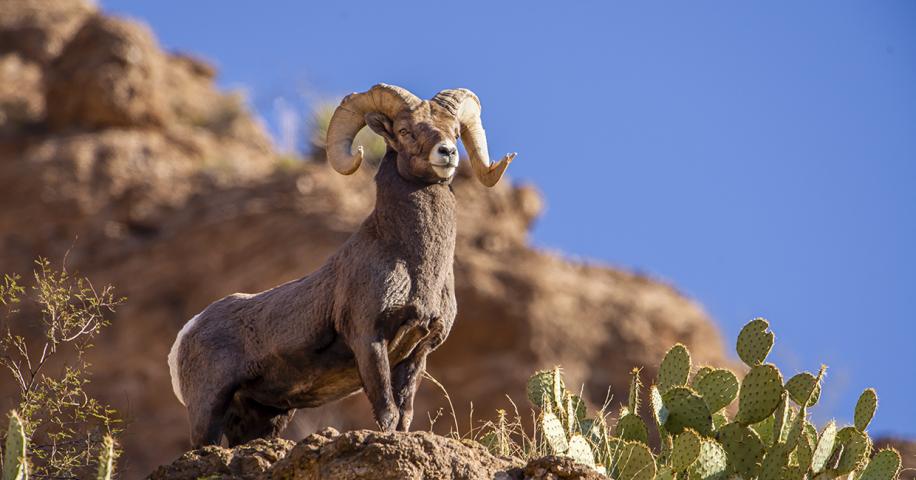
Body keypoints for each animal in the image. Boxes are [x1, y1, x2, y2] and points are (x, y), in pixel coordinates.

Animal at [167, 84, 517, 447]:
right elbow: (387, 411)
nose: (446, 153)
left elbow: (404, 416)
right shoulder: (368, 340)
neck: (414, 265)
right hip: (209, 408)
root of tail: (187, 333)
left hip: (264, 416)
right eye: (405, 131)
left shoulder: (417, 353)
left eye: (455, 133)